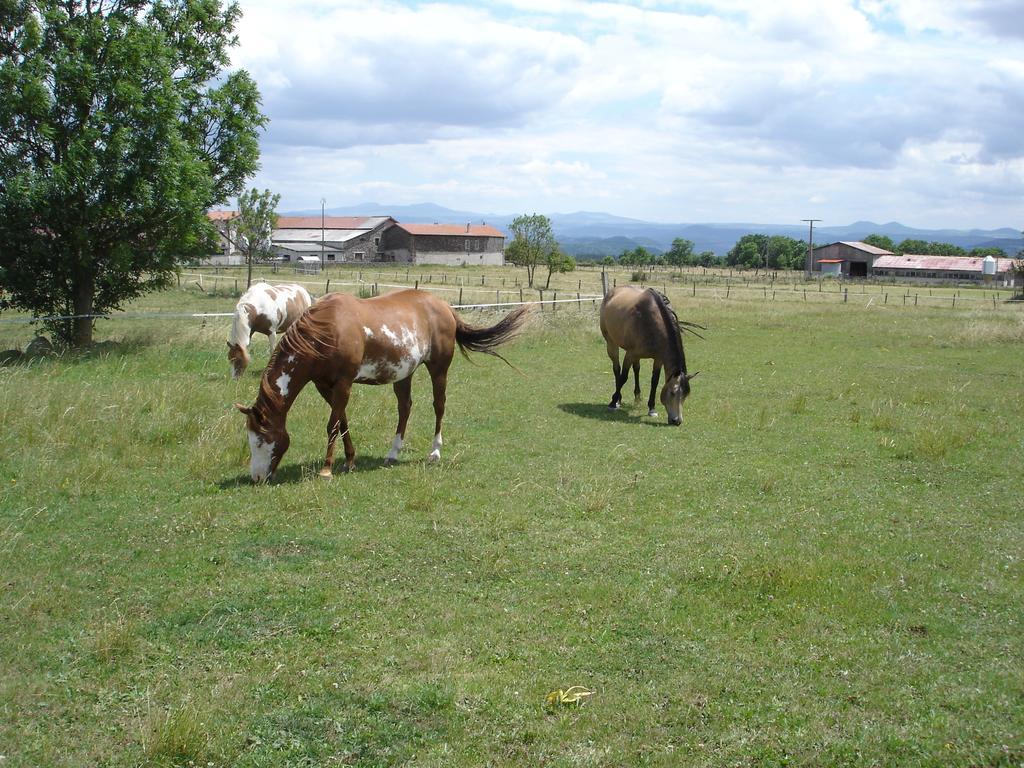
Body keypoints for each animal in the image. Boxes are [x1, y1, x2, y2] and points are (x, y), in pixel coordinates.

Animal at [234, 290, 532, 483]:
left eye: (260, 440)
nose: (257, 477)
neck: (326, 331)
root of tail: (445, 307)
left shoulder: (343, 383)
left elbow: (332, 424)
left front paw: (327, 468)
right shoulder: (324, 385)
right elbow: (342, 421)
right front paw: (350, 460)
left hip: (438, 369)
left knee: (439, 406)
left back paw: (435, 451)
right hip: (404, 374)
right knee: (405, 408)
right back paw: (393, 453)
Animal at [598, 286, 700, 423]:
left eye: (686, 394)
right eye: (673, 392)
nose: (677, 421)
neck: (650, 321)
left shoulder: (658, 359)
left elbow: (654, 381)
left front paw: (652, 408)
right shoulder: (630, 354)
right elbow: (623, 377)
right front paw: (613, 402)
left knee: (636, 369)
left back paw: (637, 397)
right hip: (611, 343)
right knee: (617, 369)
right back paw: (618, 399)